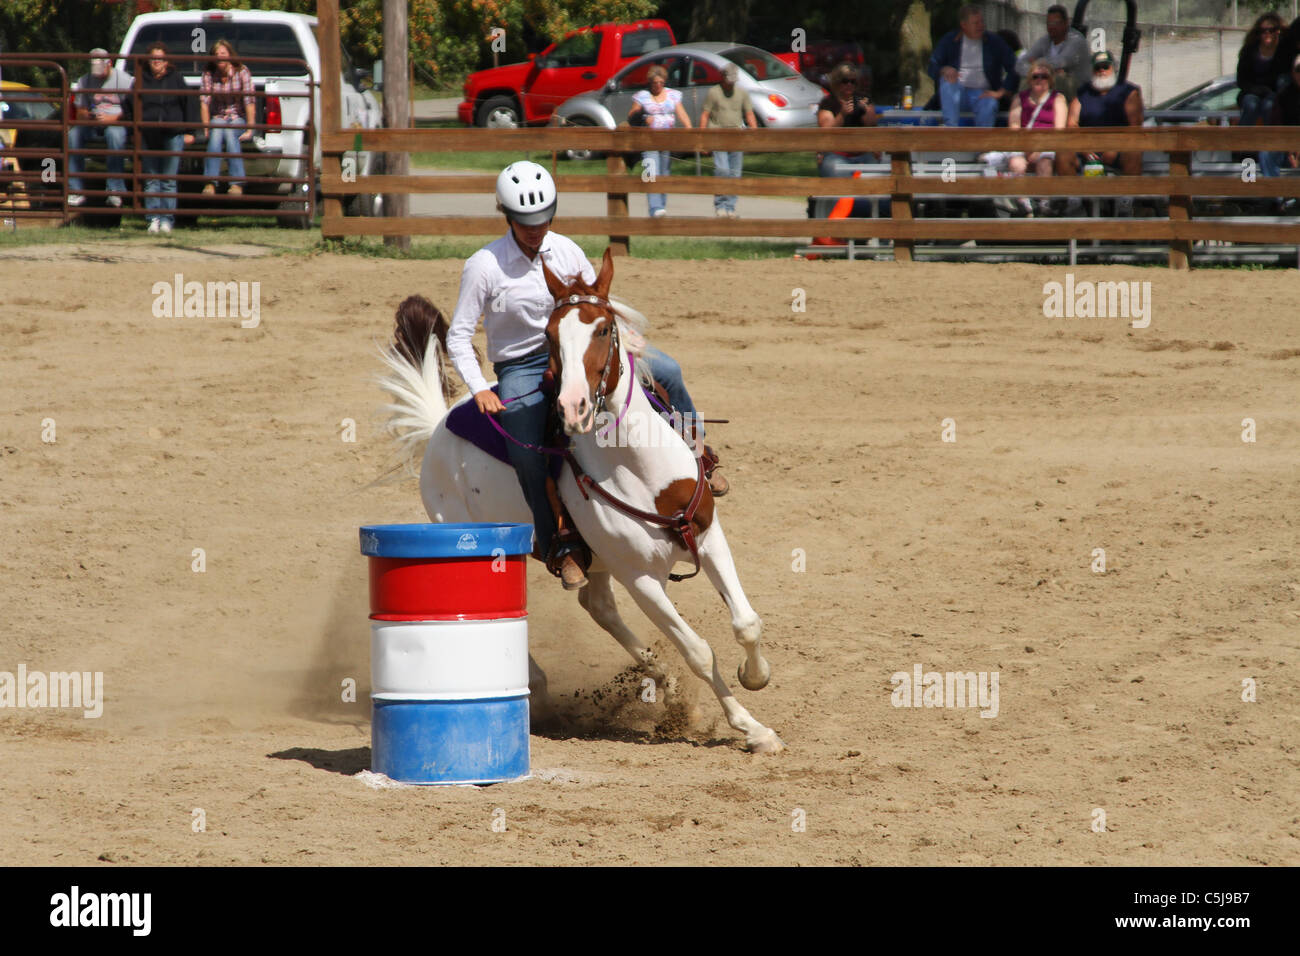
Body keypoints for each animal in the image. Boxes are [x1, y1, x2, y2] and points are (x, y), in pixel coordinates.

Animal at [377, 247, 780, 754]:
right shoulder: (640, 579)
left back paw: (665, 685)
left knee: (599, 606)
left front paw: (755, 676)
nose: (573, 407)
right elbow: (698, 651)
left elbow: (746, 622)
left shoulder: (707, 537)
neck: (638, 467)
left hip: (600, 562)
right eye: (549, 335)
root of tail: (438, 425)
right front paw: (751, 727)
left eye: (604, 328)